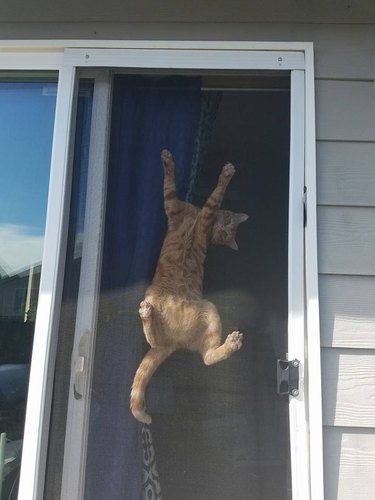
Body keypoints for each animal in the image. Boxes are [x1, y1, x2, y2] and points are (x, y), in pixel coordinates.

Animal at [131, 150, 248, 424]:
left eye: (228, 234)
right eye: (228, 224)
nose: (224, 231)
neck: (196, 218)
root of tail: (175, 342)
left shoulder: (190, 210)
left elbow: (211, 195)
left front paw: (226, 174)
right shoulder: (177, 208)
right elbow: (171, 184)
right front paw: (167, 161)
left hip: (211, 312)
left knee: (204, 357)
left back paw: (230, 345)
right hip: (154, 296)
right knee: (158, 342)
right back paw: (148, 315)